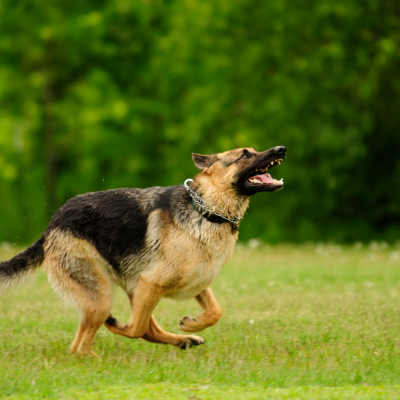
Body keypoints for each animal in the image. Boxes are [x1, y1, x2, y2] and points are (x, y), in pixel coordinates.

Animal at [0, 145, 288, 354]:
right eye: (245, 154)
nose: (281, 149)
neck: (206, 210)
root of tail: (51, 226)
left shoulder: (193, 283)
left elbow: (215, 311)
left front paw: (192, 324)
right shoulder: (151, 284)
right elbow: (136, 329)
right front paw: (122, 326)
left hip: (128, 288)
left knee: (122, 335)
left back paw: (183, 340)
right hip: (103, 295)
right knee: (85, 345)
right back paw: (99, 353)